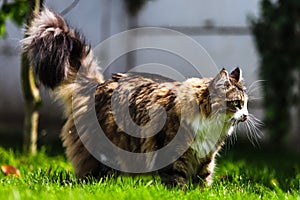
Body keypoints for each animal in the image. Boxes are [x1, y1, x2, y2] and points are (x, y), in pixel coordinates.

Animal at [21, 8, 260, 188]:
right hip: (104, 152)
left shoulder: (205, 158)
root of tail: (98, 85)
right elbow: (178, 182)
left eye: (247, 104)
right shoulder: (175, 155)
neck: (211, 125)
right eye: (237, 104)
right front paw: (182, 193)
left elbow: (203, 182)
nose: (247, 116)